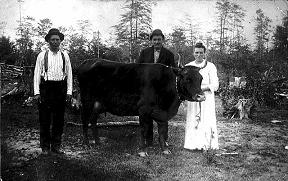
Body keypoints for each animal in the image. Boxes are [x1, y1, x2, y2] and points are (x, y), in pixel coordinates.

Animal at [76, 58, 205, 156]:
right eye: (187, 78)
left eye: (201, 78)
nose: (201, 96)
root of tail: (88, 61)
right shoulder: (143, 110)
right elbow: (144, 129)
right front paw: (142, 150)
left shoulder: (162, 114)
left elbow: (162, 131)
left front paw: (165, 149)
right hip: (87, 100)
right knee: (84, 120)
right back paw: (86, 144)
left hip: (98, 104)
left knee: (93, 120)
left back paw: (97, 142)